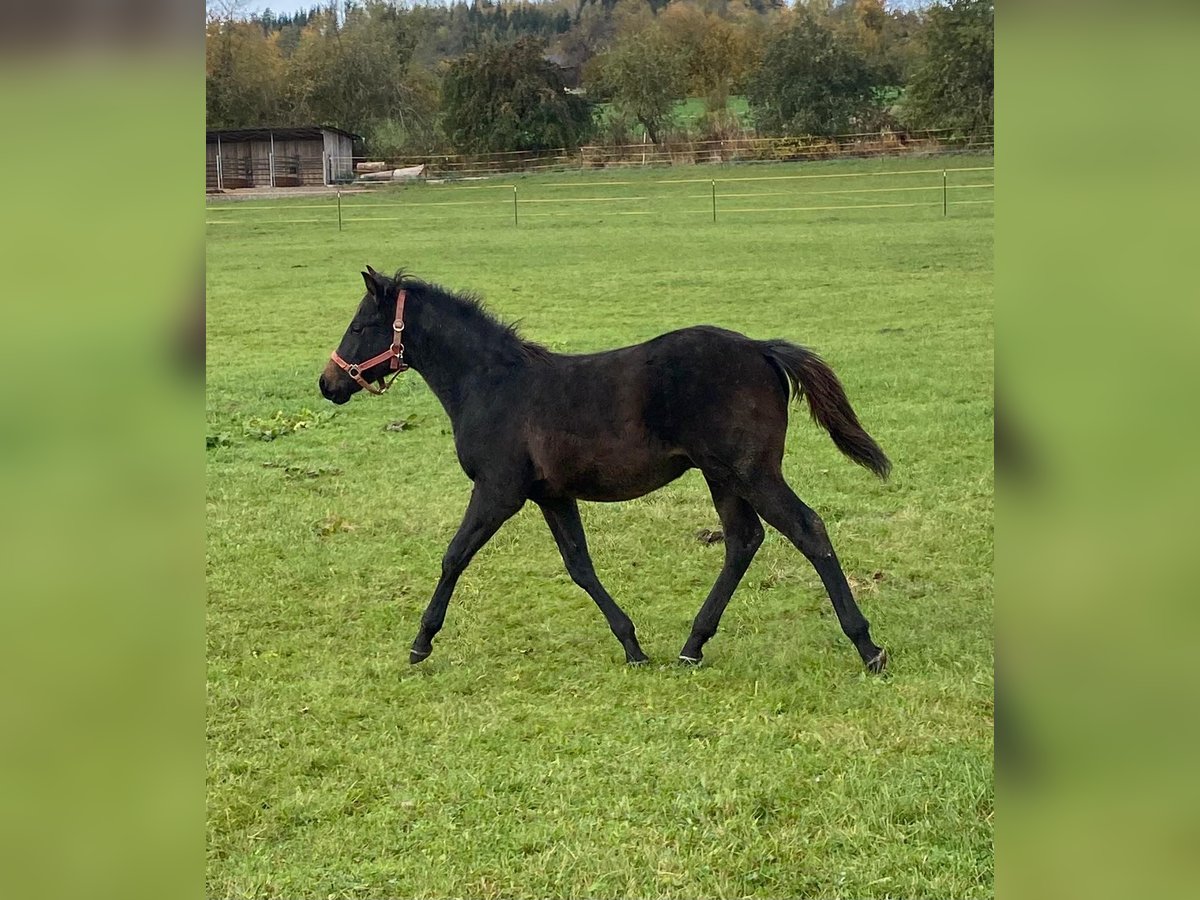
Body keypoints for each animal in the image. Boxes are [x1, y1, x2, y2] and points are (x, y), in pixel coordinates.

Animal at [319, 271, 892, 672]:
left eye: (359, 326)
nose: (329, 383)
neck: (494, 384)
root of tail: (760, 349)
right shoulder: (552, 495)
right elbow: (580, 566)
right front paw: (633, 646)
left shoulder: (498, 491)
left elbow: (454, 556)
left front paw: (421, 643)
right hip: (723, 476)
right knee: (743, 541)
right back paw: (691, 646)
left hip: (752, 472)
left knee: (807, 529)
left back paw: (868, 647)